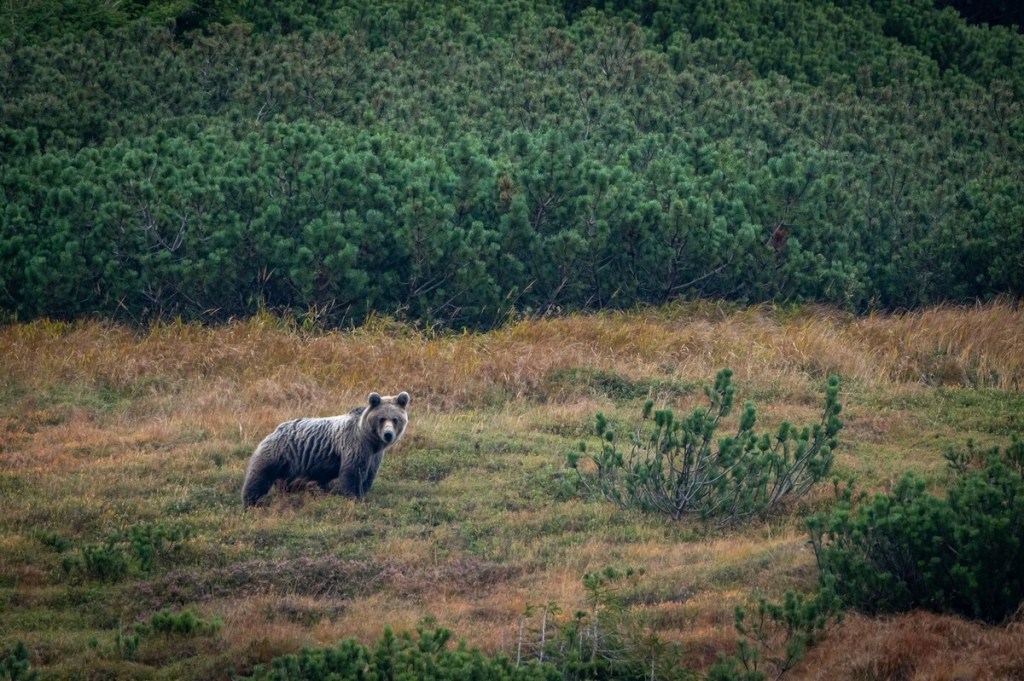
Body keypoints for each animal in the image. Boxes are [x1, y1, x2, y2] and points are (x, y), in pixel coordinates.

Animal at [241, 391, 409, 507]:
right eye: (382, 418)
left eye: (395, 419)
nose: (388, 435)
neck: (369, 439)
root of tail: (275, 430)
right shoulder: (354, 444)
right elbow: (353, 472)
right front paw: (353, 496)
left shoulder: (374, 454)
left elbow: (369, 474)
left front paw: (363, 492)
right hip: (278, 452)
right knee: (260, 475)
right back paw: (251, 501)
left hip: (290, 465)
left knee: (286, 481)